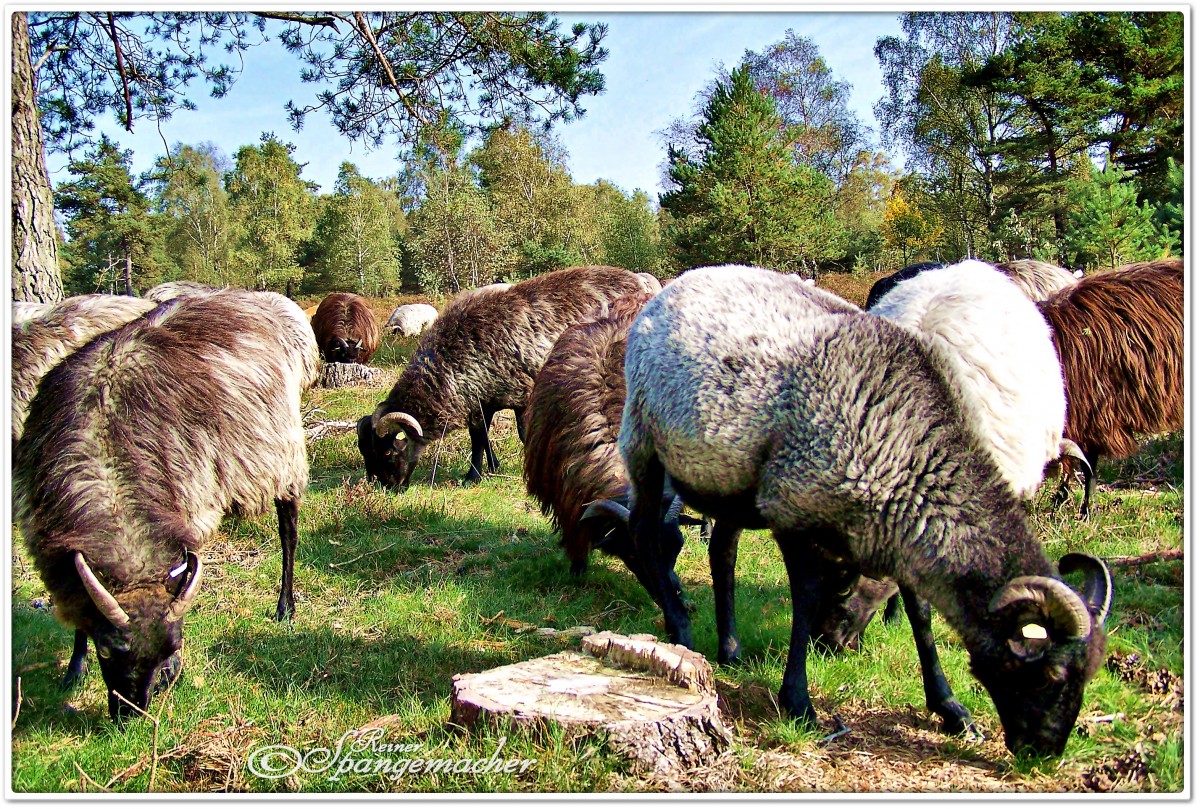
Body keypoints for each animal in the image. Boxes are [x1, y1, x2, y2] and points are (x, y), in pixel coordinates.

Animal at [357, 267, 652, 487]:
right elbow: (480, 437)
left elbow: (518, 434)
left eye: (388, 451)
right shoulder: (481, 401)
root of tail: (641, 280)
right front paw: (484, 470)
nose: (387, 487)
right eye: (365, 451)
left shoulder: (522, 395)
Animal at [624, 264, 1108, 758]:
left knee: (721, 548)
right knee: (645, 536)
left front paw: (950, 707)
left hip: (731, 478)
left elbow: (920, 612)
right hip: (644, 441)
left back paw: (730, 650)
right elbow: (806, 599)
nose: (1044, 752)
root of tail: (685, 281)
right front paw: (798, 702)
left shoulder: (898, 526)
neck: (907, 451)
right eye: (1050, 674)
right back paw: (681, 630)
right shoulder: (793, 507)